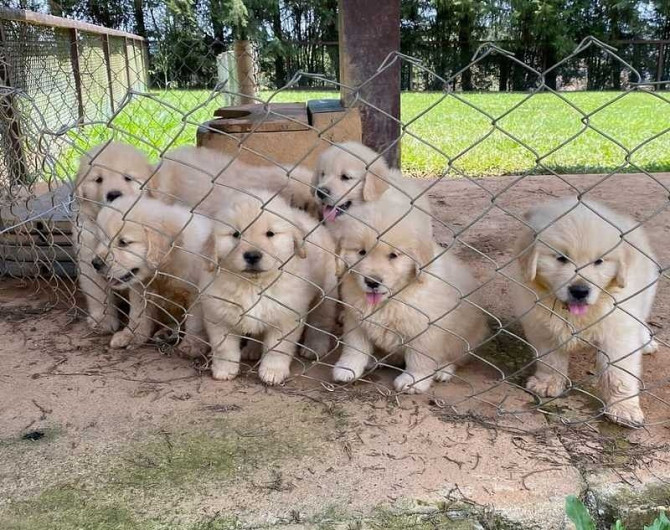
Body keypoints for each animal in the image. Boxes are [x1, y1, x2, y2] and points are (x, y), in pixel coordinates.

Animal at [74, 142, 154, 332]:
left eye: (127, 178)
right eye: (98, 179)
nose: (114, 194)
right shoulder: (88, 258)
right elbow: (97, 292)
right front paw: (103, 320)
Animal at [92, 192, 213, 348]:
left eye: (123, 242)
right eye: (101, 240)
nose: (95, 263)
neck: (162, 272)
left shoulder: (195, 293)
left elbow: (195, 323)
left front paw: (192, 344)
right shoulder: (139, 289)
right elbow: (137, 315)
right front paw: (131, 335)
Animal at [334, 202, 488, 392]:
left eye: (393, 255)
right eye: (361, 252)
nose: (372, 282)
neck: (392, 299)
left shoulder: (425, 330)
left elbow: (419, 358)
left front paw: (413, 380)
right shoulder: (356, 320)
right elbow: (355, 347)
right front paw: (347, 368)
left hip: (463, 337)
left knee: (455, 357)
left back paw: (443, 369)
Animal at [516, 197, 660, 424]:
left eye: (599, 261)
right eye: (561, 258)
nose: (580, 291)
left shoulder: (618, 331)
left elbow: (619, 373)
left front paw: (623, 407)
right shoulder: (541, 325)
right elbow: (550, 359)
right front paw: (548, 382)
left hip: (647, 291)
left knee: (641, 320)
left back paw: (646, 342)